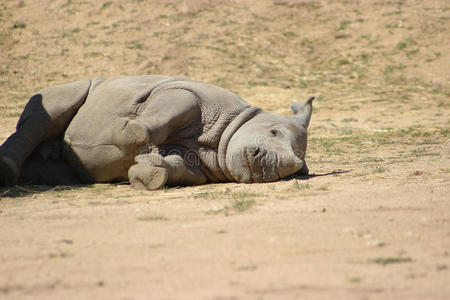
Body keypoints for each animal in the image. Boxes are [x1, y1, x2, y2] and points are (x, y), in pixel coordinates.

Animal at [0, 76, 314, 191]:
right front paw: (129, 134)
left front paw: (147, 173)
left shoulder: (199, 168)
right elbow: (172, 110)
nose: (267, 165)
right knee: (55, 107)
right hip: (84, 85)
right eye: (273, 131)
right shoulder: (184, 92)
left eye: (292, 170)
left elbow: (175, 167)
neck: (221, 140)